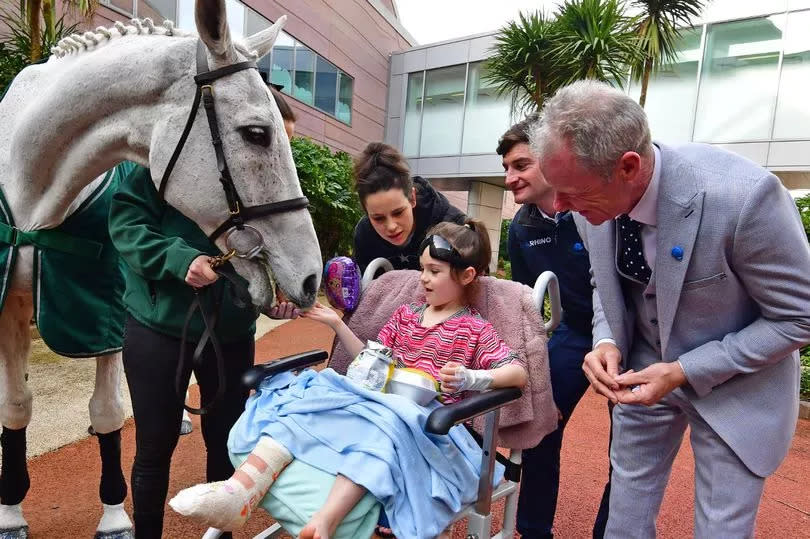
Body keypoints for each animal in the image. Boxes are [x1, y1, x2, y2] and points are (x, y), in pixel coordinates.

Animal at [0, 1, 322, 536]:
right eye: (256, 133)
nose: (311, 275)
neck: (32, 186)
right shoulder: (10, 306)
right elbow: (16, 405)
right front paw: (10, 510)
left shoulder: (103, 311)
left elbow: (108, 412)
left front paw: (113, 515)